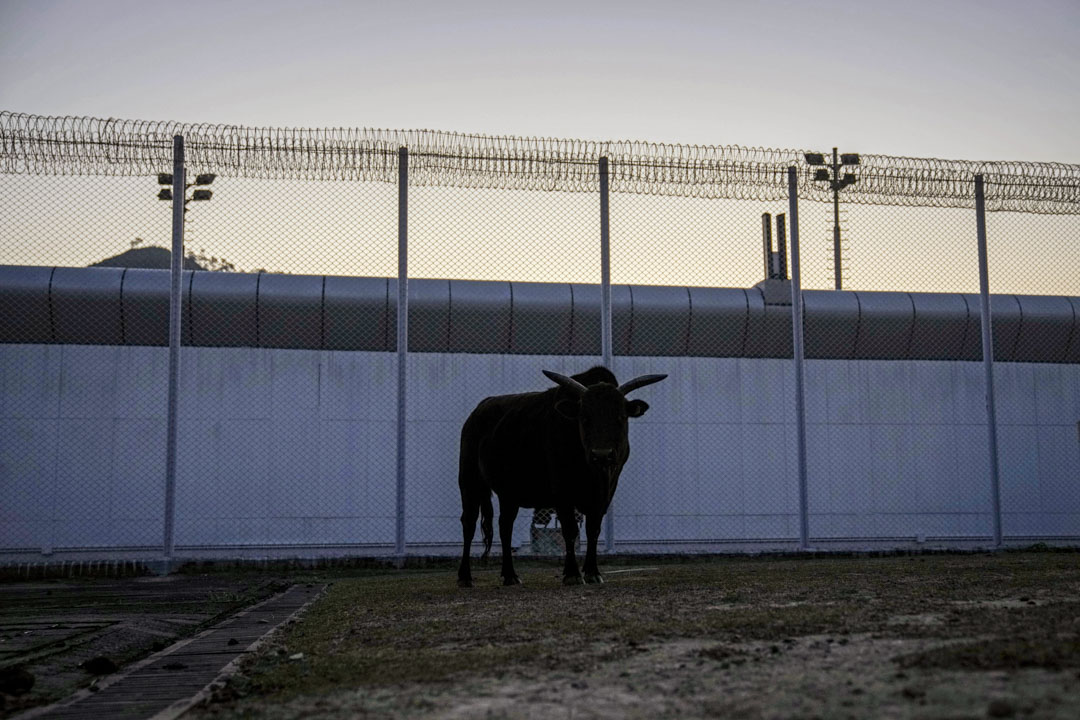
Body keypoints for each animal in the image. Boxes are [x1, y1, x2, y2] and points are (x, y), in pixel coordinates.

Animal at [455, 367, 665, 587]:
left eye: (620, 417)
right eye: (584, 418)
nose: (602, 454)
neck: (590, 471)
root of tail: (479, 410)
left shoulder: (605, 493)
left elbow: (593, 530)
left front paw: (592, 572)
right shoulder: (562, 492)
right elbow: (570, 530)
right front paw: (572, 573)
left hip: (508, 493)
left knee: (505, 526)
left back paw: (510, 575)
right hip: (469, 480)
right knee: (469, 522)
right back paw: (465, 576)